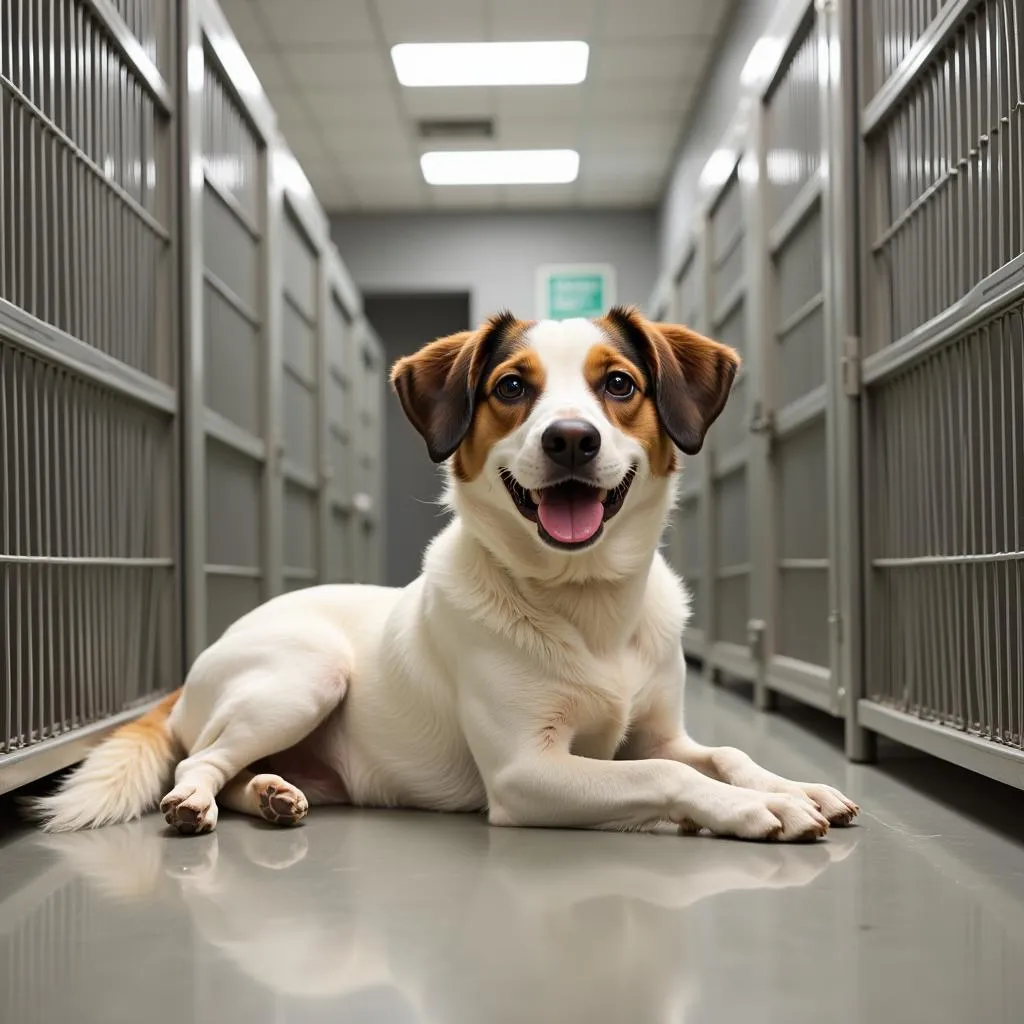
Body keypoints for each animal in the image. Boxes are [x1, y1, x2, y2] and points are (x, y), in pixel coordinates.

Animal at [32, 303, 856, 839]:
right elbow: (669, 777)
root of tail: (193, 670)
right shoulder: (527, 771)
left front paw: (799, 786)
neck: (584, 600)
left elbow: (723, 753)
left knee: (233, 768)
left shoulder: (658, 733)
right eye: (512, 387)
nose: (570, 439)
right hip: (304, 675)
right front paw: (759, 809)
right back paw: (197, 803)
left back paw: (270, 792)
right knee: (197, 762)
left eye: (619, 384)